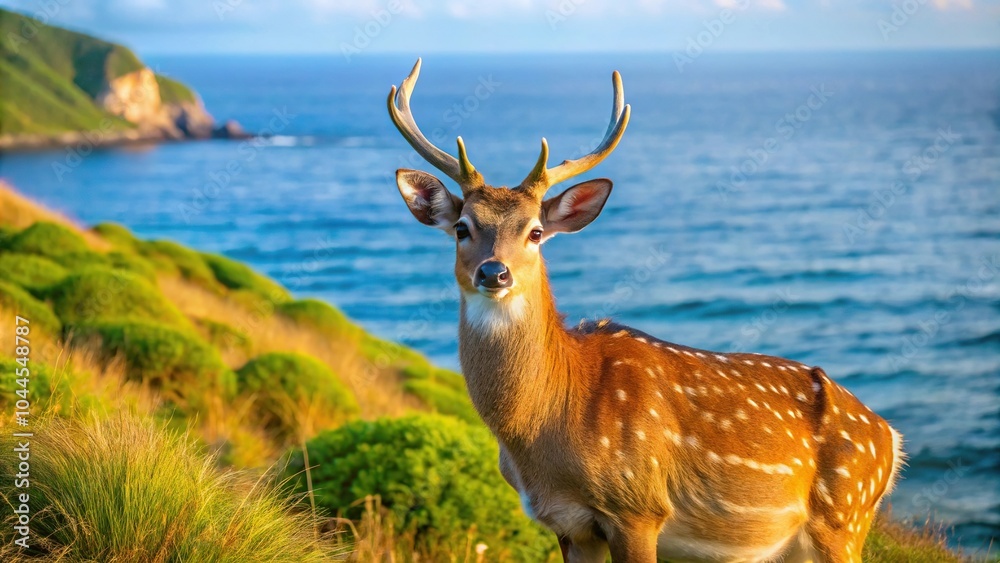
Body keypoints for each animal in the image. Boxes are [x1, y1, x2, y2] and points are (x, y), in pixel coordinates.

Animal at [387, 59, 905, 563]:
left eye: (535, 232)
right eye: (461, 227)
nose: (495, 273)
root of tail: (891, 439)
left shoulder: (638, 505)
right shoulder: (567, 526)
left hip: (844, 516)